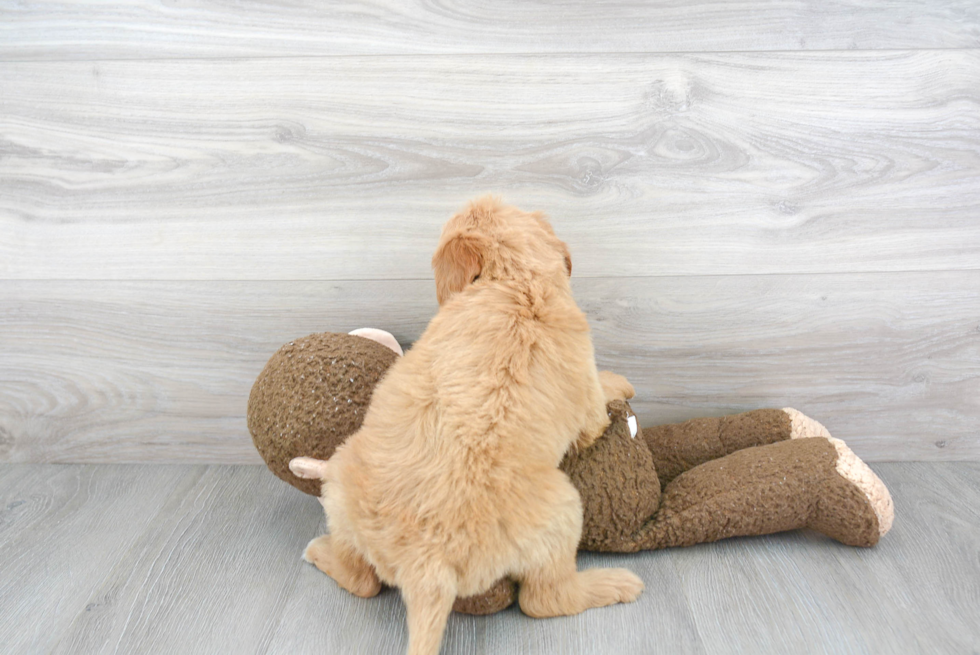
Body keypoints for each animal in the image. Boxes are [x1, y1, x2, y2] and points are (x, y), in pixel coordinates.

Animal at [290, 196, 644, 655]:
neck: (515, 281)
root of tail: (428, 566)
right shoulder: (589, 409)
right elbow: (600, 401)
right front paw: (619, 381)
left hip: (345, 478)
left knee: (362, 579)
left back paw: (320, 544)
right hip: (565, 508)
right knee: (544, 600)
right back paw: (614, 584)